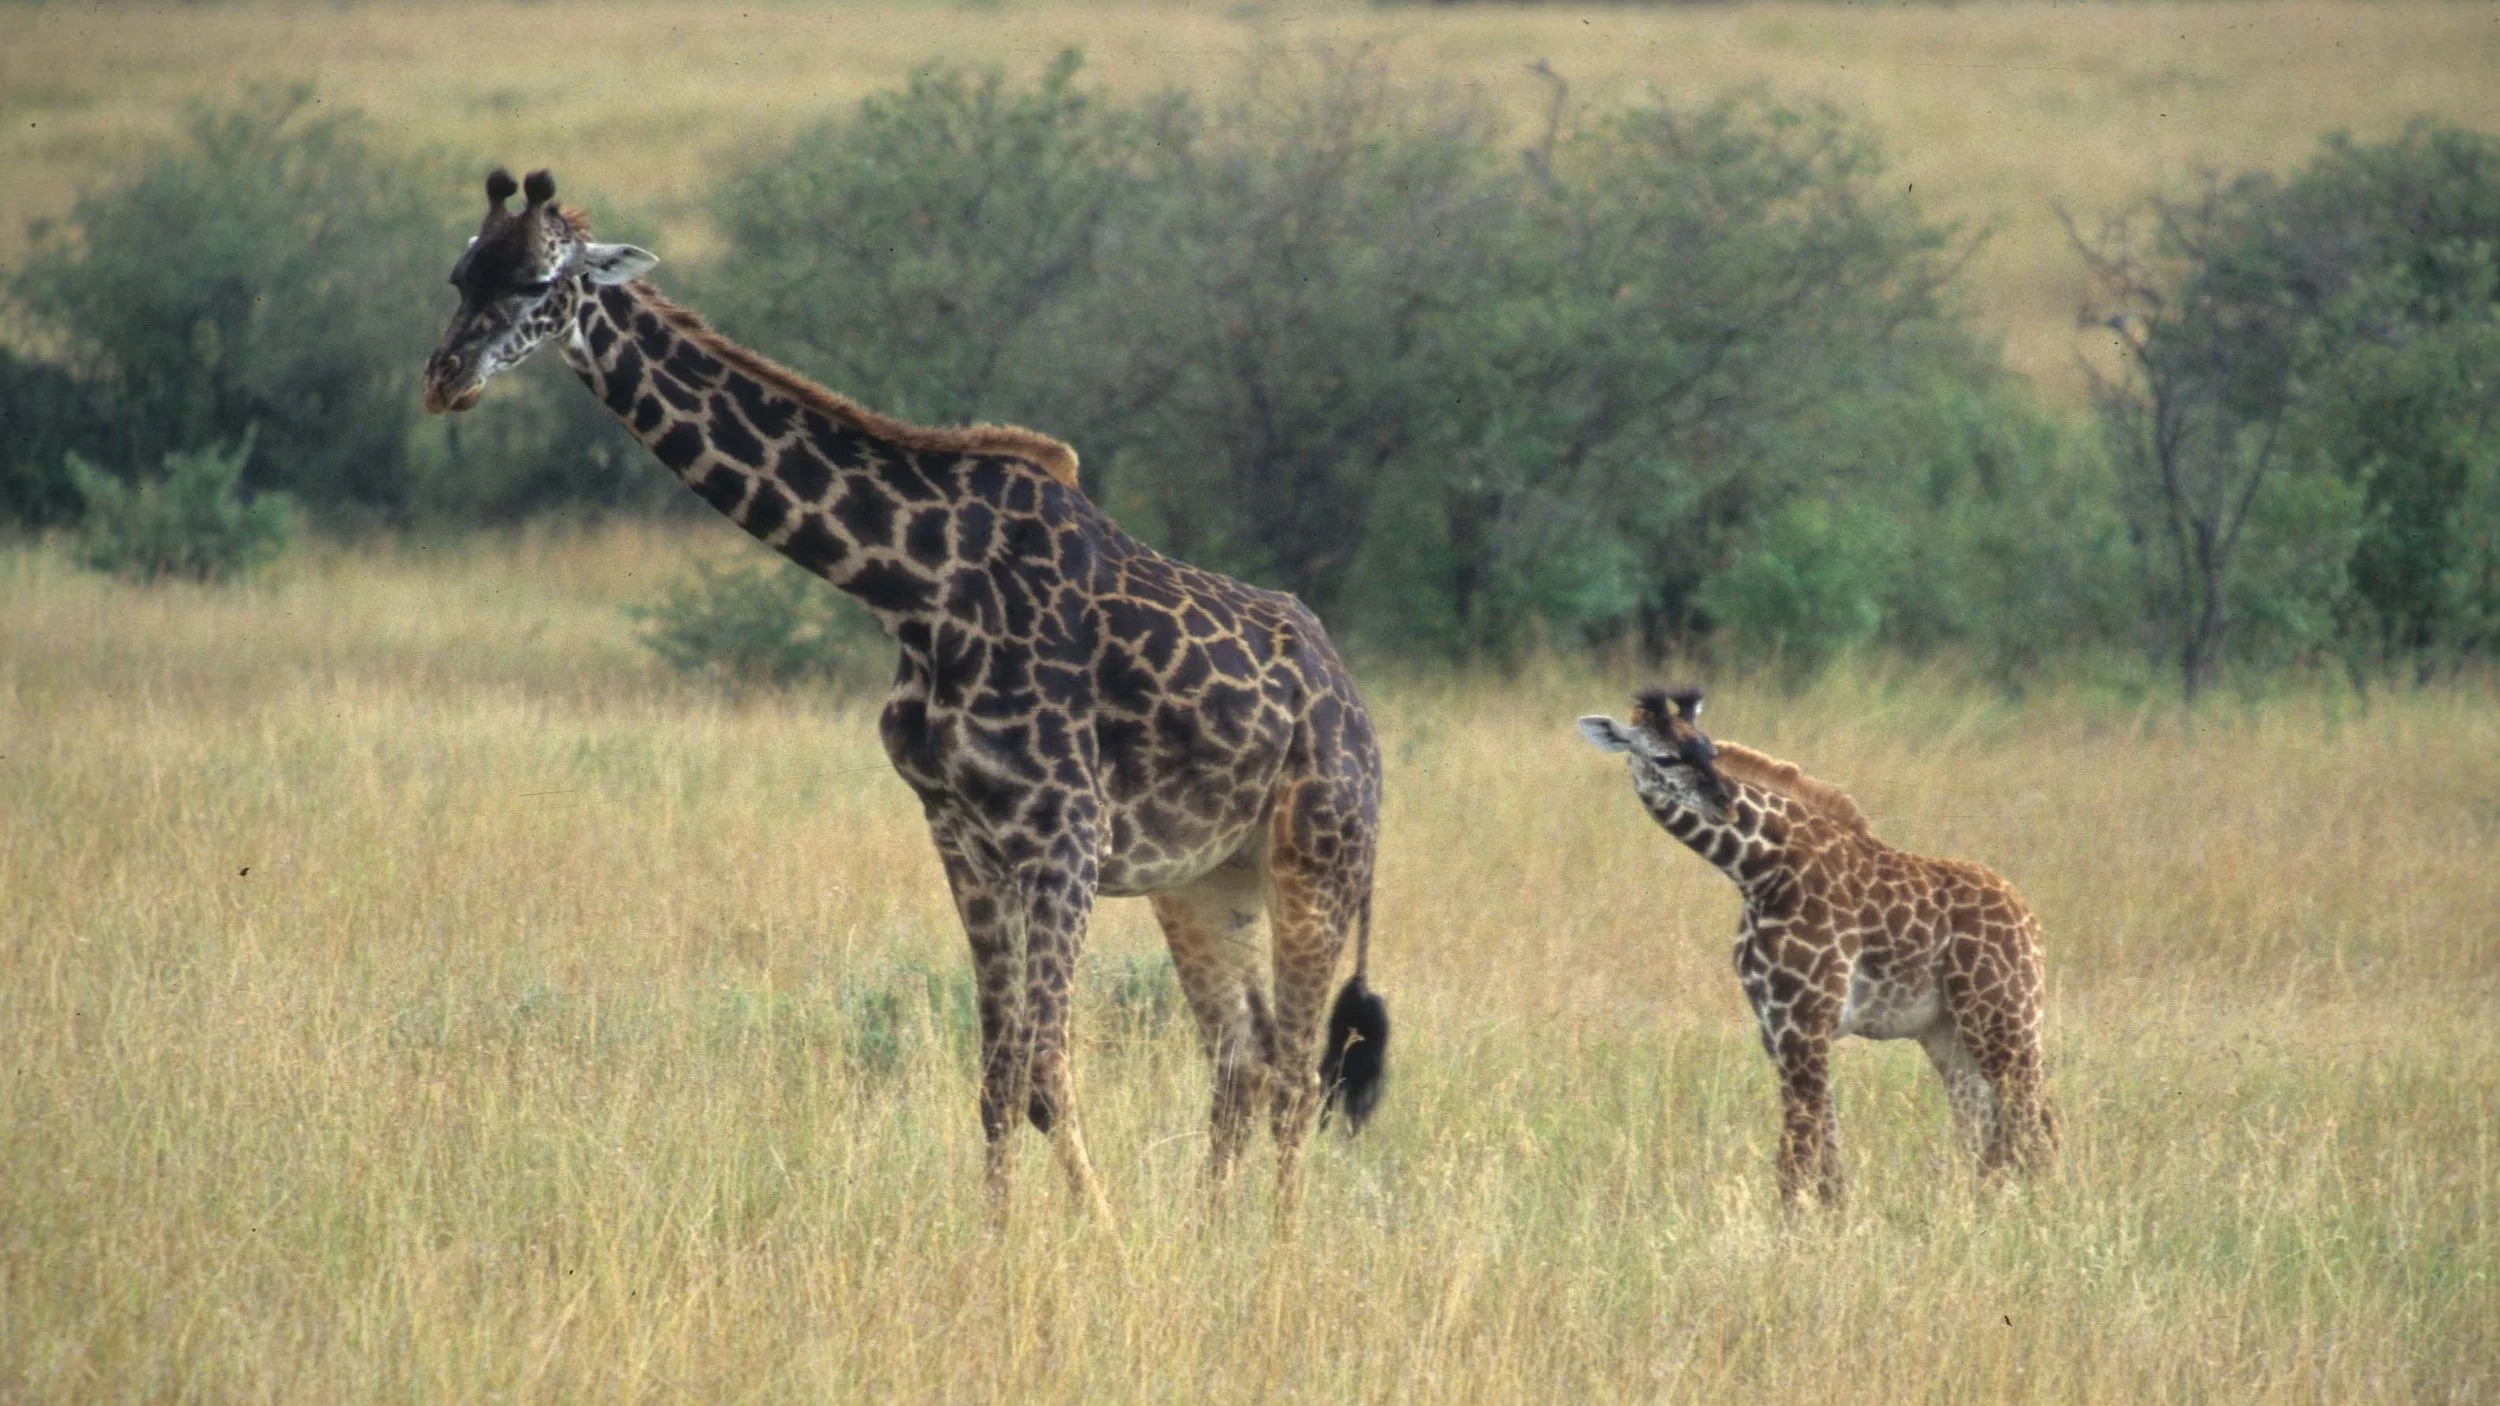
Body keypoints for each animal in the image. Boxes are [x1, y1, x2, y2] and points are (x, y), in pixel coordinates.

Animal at [422, 168, 1390, 1216]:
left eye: (539, 281)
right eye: (461, 274)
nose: (444, 377)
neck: (914, 589)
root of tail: (1356, 714)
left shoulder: (1067, 837)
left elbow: (1045, 1071)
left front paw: (1105, 1239)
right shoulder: (963, 835)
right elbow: (1000, 1078)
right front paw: (1001, 1241)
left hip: (1316, 862)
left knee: (1295, 1075)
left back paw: (1272, 1245)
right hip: (1206, 882)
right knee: (1241, 1062)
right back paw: (1212, 1234)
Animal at [1576, 686, 2054, 1207]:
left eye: (1710, 751)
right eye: (1664, 757)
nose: (1722, 802)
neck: (1760, 871)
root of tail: (2028, 920)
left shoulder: (1805, 1022)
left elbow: (1797, 1156)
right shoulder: (1776, 1025)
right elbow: (1824, 1153)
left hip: (2003, 1015)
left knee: (2034, 1123)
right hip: (1950, 1030)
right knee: (1991, 1124)